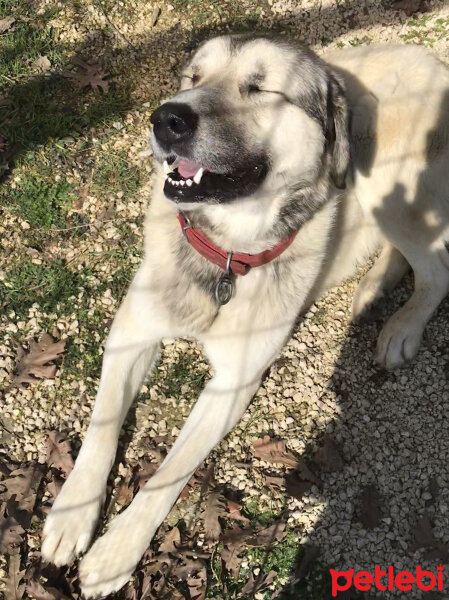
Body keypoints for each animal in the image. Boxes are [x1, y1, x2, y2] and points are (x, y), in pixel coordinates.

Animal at [40, 36, 448, 596]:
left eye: (258, 88)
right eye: (192, 78)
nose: (165, 119)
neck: (227, 251)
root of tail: (432, 60)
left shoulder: (234, 382)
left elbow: (170, 472)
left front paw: (116, 552)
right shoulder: (131, 331)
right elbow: (102, 426)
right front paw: (72, 514)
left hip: (386, 181)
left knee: (438, 268)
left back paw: (402, 327)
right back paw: (372, 288)